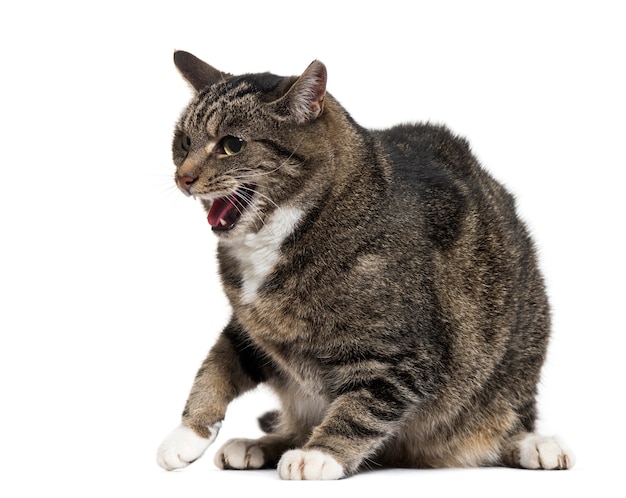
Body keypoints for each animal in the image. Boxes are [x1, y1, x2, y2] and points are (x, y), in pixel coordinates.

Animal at [155, 50, 572, 478]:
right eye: (184, 141)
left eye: (232, 145)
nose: (183, 177)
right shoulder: (251, 330)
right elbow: (215, 368)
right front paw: (186, 435)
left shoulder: (402, 355)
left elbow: (362, 408)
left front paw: (319, 454)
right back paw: (261, 444)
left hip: (519, 359)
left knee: (509, 419)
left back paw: (534, 445)